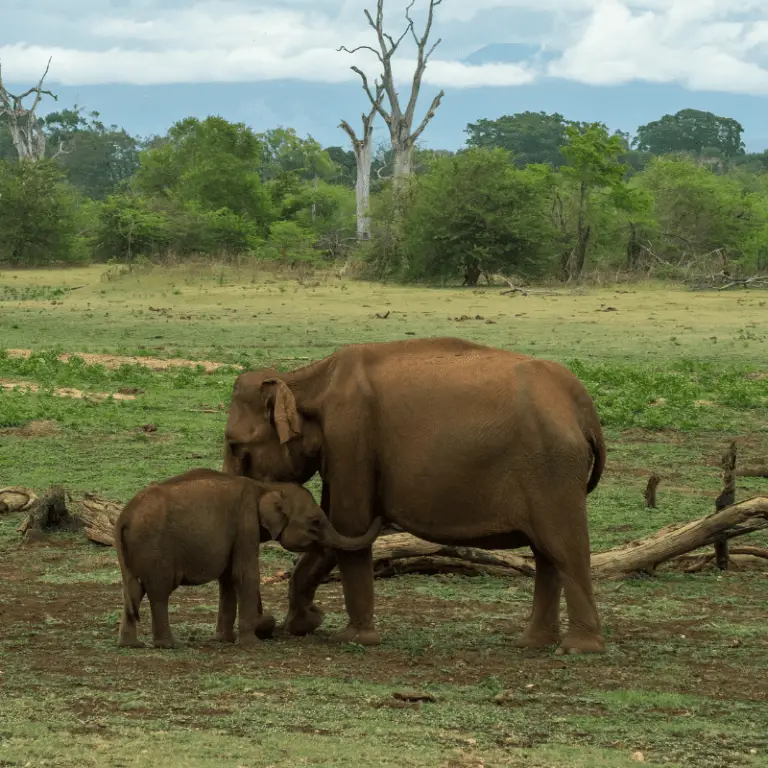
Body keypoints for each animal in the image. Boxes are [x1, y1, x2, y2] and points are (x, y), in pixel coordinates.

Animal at [116, 468, 380, 648]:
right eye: (315, 522)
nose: (380, 516)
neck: (264, 486)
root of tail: (123, 517)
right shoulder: (246, 522)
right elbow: (244, 574)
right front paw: (251, 642)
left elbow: (227, 579)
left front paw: (225, 639)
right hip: (155, 548)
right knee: (158, 592)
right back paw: (168, 645)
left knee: (133, 590)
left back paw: (131, 644)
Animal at [222, 336, 608, 656]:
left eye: (236, 446)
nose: (266, 627)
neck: (307, 379)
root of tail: (583, 407)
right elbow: (334, 527)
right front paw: (305, 624)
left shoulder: (350, 435)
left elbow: (350, 524)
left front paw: (353, 638)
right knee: (546, 553)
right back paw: (533, 643)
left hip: (552, 469)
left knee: (564, 547)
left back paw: (578, 647)